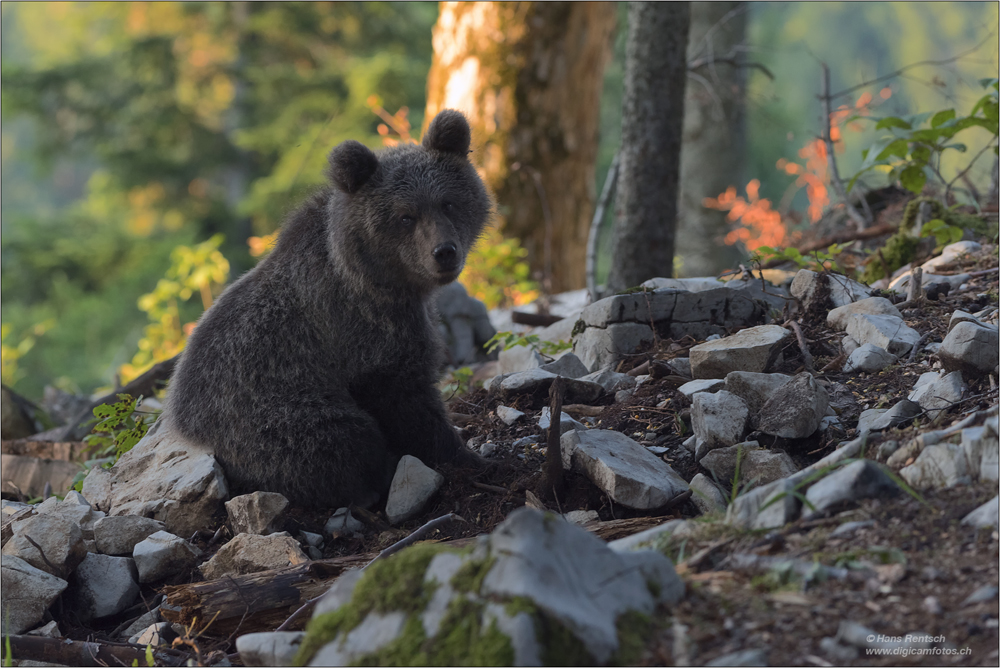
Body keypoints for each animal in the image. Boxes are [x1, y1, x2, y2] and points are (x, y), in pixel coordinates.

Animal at [165, 108, 492, 506]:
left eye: (448, 202)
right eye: (405, 216)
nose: (444, 252)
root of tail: (187, 431)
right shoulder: (366, 330)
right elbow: (405, 397)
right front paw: (469, 456)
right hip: (272, 415)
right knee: (339, 438)